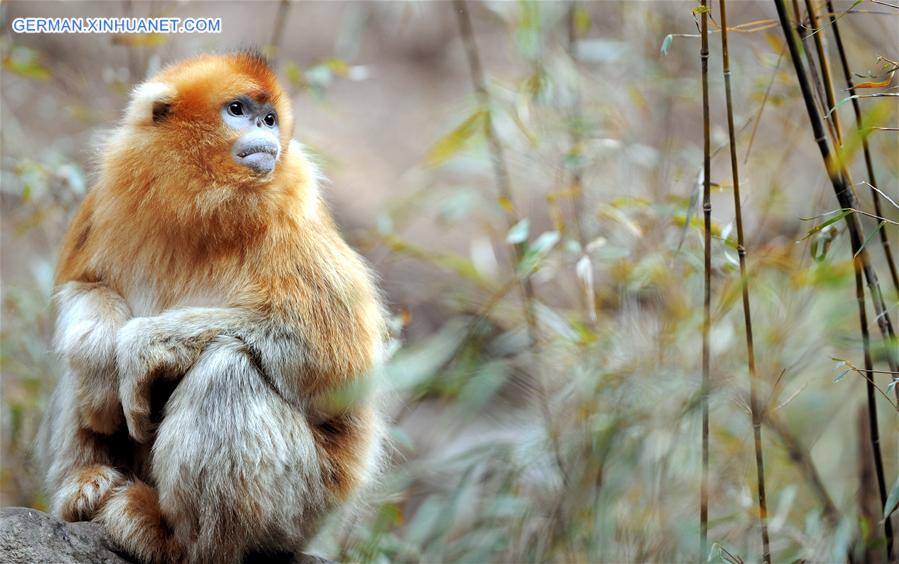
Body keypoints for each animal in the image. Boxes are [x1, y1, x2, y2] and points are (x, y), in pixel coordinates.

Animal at [37, 50, 388, 560]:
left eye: (270, 118)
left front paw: (142, 347)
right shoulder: (111, 192)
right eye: (238, 110)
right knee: (80, 363)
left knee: (229, 370)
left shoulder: (294, 207)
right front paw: (104, 361)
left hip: (303, 506)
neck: (200, 197)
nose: (265, 131)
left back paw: (172, 540)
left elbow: (336, 361)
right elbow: (85, 288)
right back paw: (87, 485)